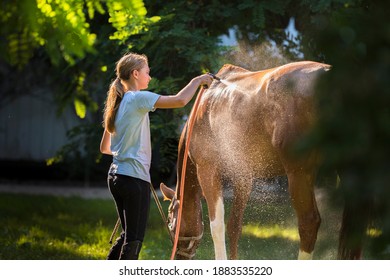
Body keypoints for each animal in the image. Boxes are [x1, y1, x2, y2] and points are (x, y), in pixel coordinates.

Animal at [160, 61, 330, 260]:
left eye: (170, 221)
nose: (177, 256)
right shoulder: (243, 177)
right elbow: (234, 227)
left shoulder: (208, 172)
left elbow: (217, 227)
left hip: (299, 173)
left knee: (309, 222)